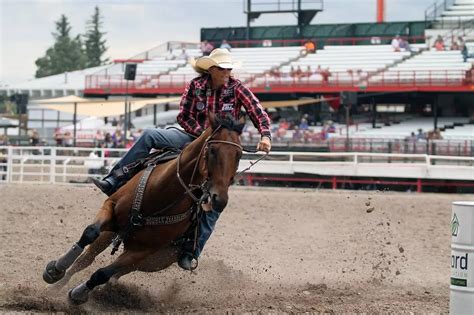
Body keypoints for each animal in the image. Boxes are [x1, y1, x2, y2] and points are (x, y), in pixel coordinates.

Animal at [40, 113, 244, 306]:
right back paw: (55, 287)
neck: (160, 196)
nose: (219, 199)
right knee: (86, 259)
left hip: (150, 262)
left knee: (114, 273)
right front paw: (55, 269)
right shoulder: (110, 207)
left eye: (239, 155)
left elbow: (102, 274)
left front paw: (77, 294)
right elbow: (90, 232)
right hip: (112, 233)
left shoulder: (142, 252)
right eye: (213, 150)